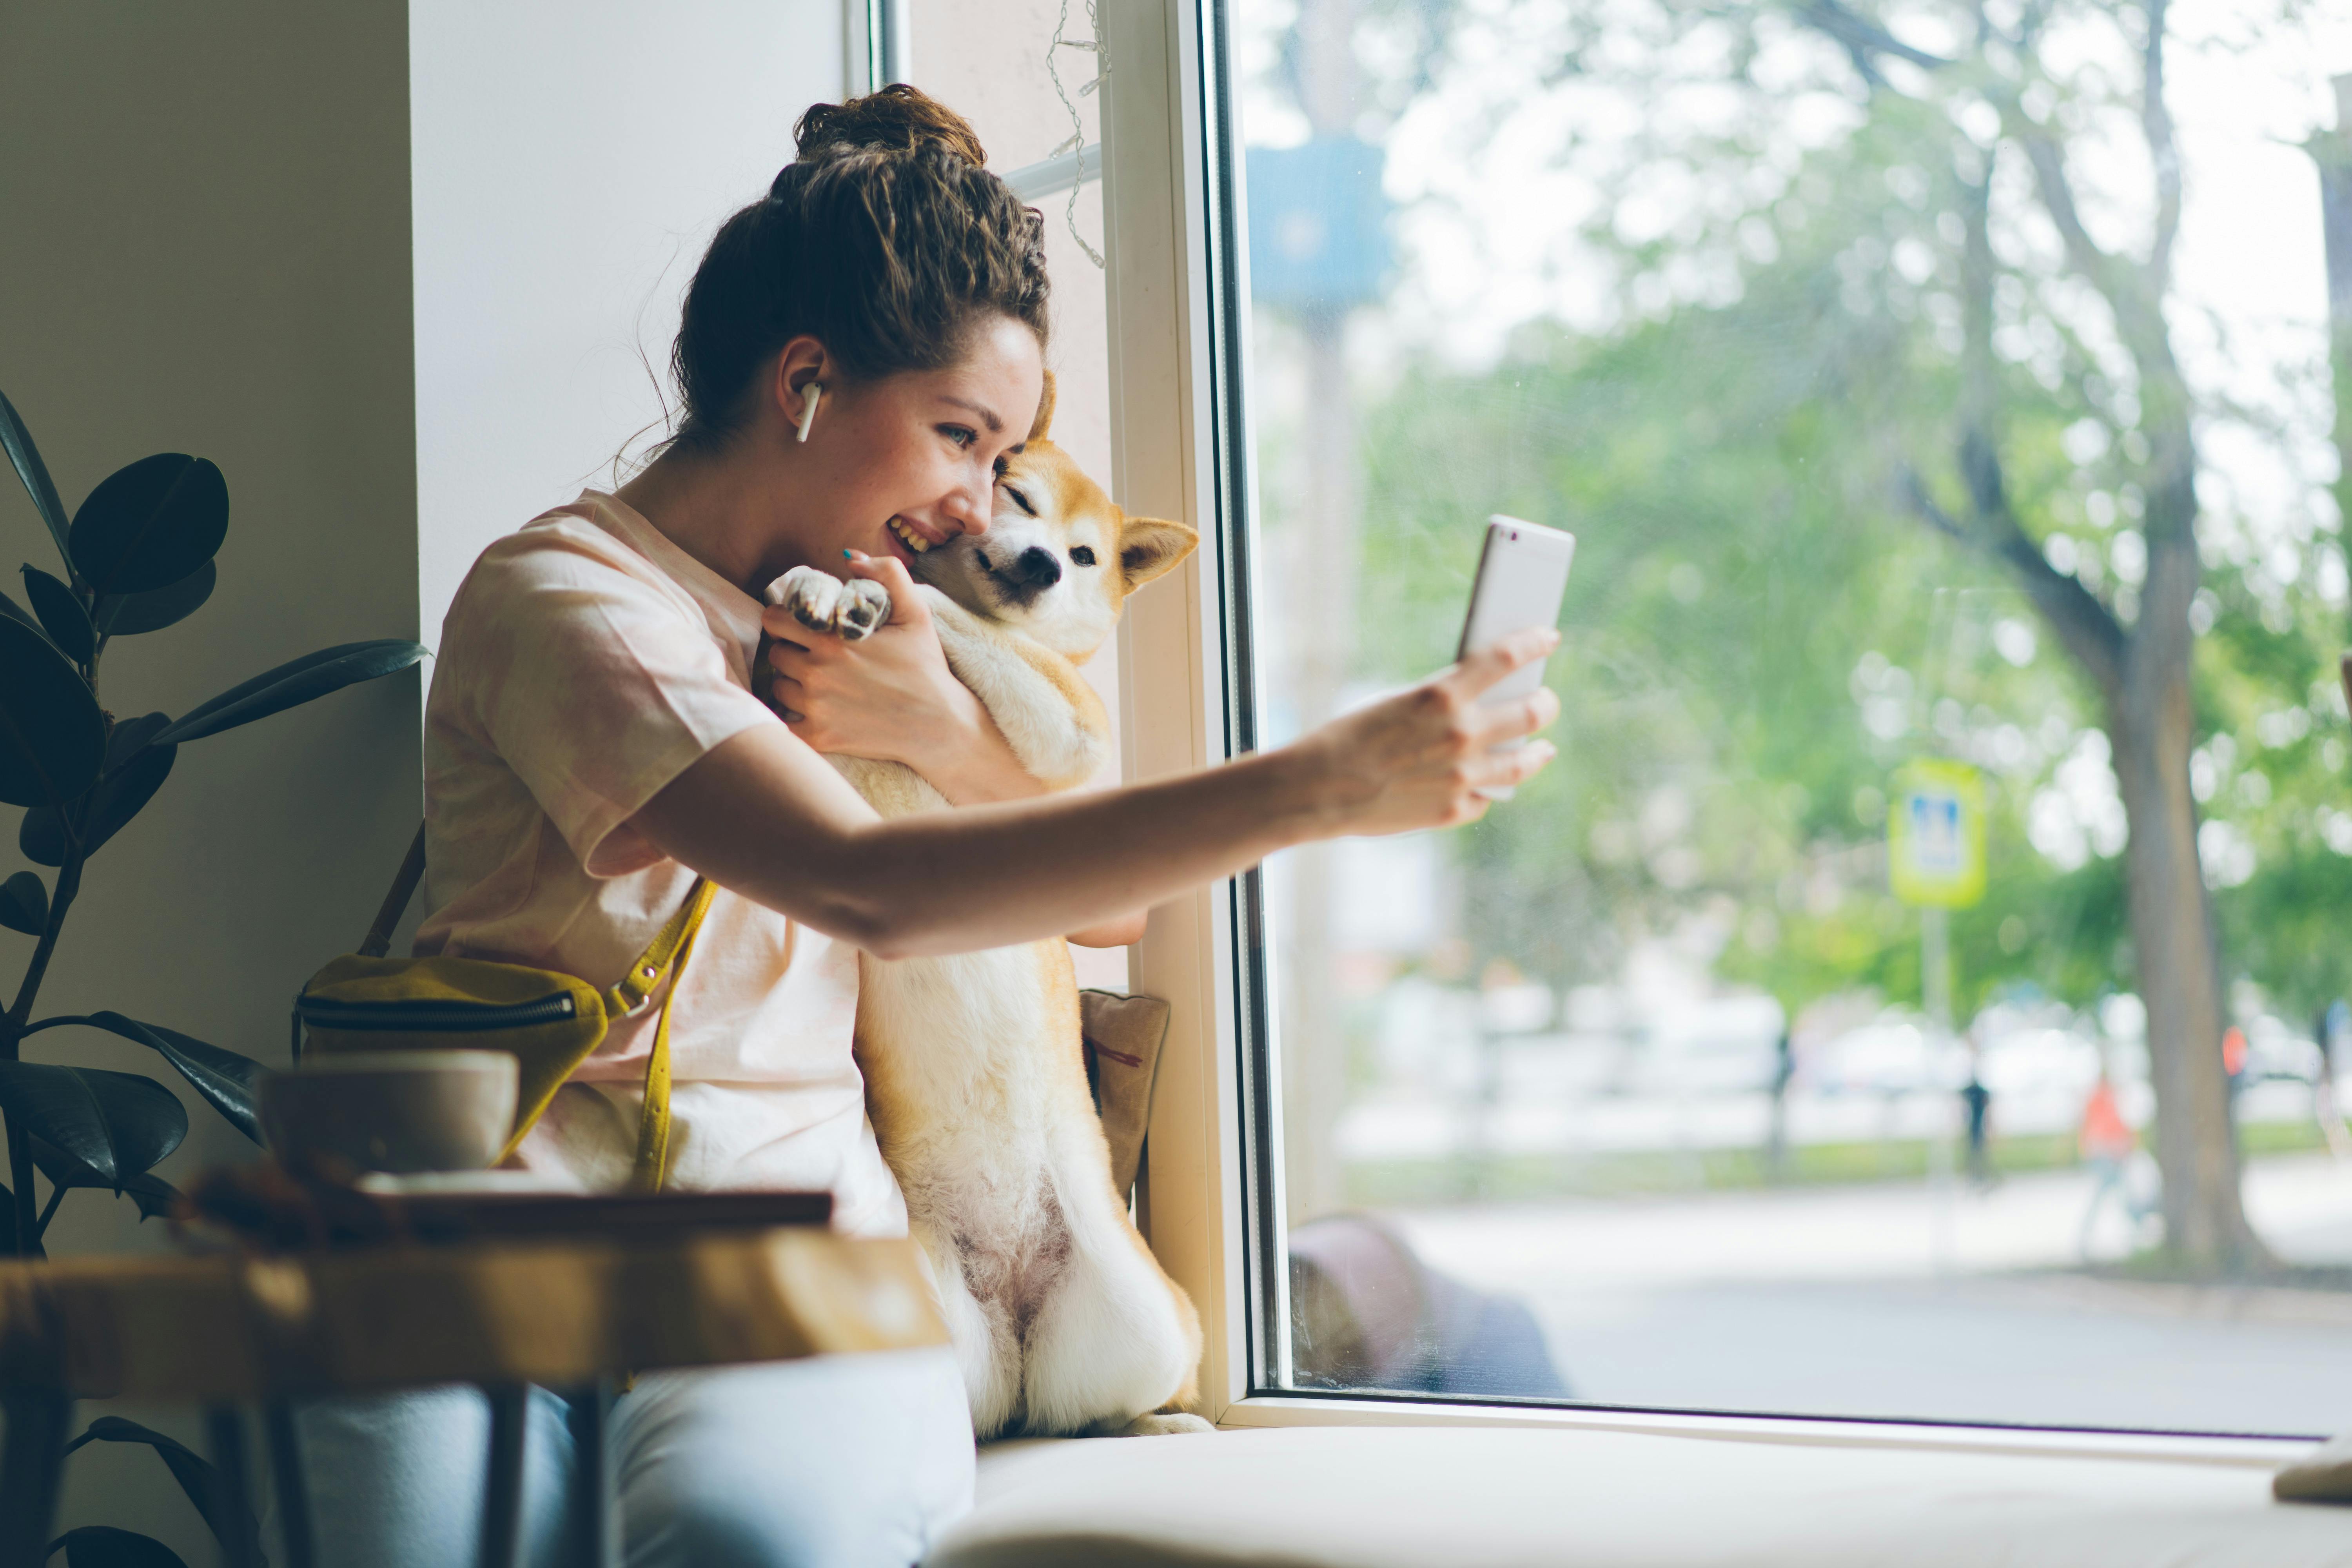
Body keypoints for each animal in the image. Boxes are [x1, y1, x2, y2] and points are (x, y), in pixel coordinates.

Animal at [771, 376, 1204, 1439]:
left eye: (1086, 556)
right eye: (1015, 492)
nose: (1045, 563)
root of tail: (1015, 1327)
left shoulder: (1072, 730)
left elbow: (950, 614)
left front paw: (873, 586)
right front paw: (827, 583)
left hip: (1150, 1320)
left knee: (1121, 1398)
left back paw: (1166, 1421)